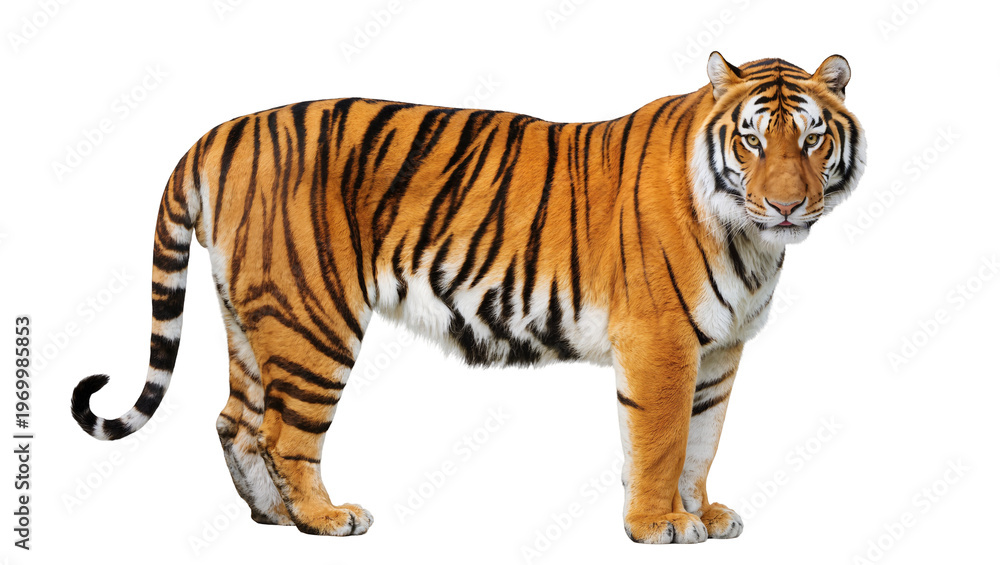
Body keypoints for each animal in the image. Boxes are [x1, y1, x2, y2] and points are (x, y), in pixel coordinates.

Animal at [71, 52, 865, 543]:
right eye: (753, 140)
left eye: (813, 140)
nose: (787, 205)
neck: (752, 242)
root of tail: (219, 132)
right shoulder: (660, 341)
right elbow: (663, 439)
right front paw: (658, 524)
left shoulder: (719, 349)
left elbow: (701, 439)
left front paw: (703, 514)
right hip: (313, 318)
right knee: (282, 432)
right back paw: (326, 520)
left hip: (248, 313)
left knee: (234, 420)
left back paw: (274, 517)